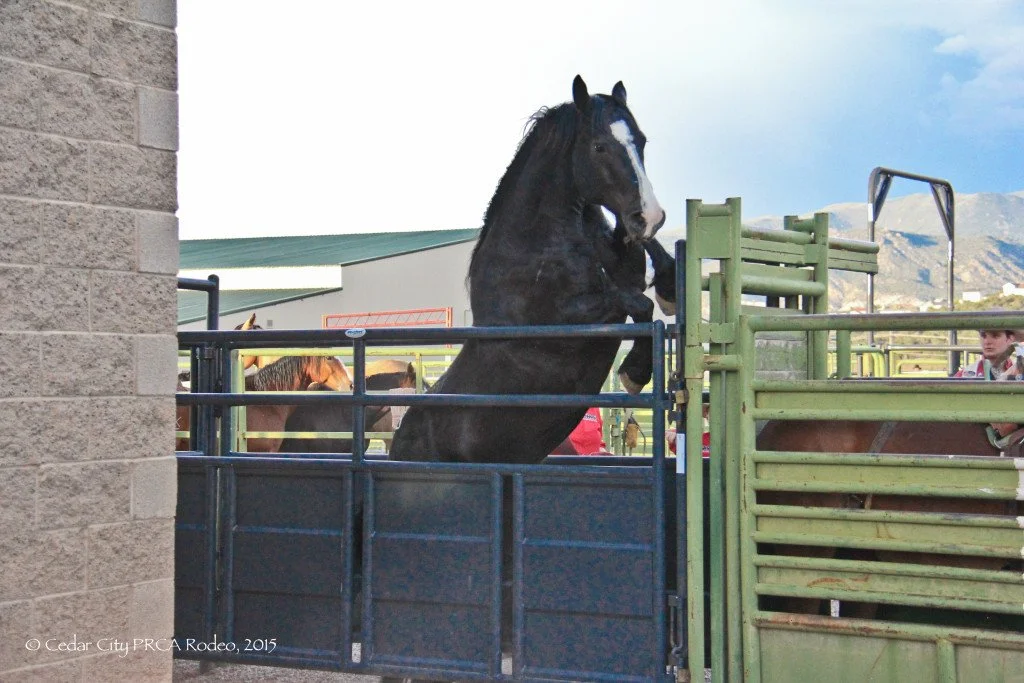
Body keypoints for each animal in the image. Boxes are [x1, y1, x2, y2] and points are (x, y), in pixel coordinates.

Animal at [389, 75, 673, 465]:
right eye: (599, 147)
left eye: (641, 141)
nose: (650, 216)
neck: (537, 244)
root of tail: (395, 446)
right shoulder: (570, 320)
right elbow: (638, 304)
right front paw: (634, 373)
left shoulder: (623, 266)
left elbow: (648, 265)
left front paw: (670, 289)